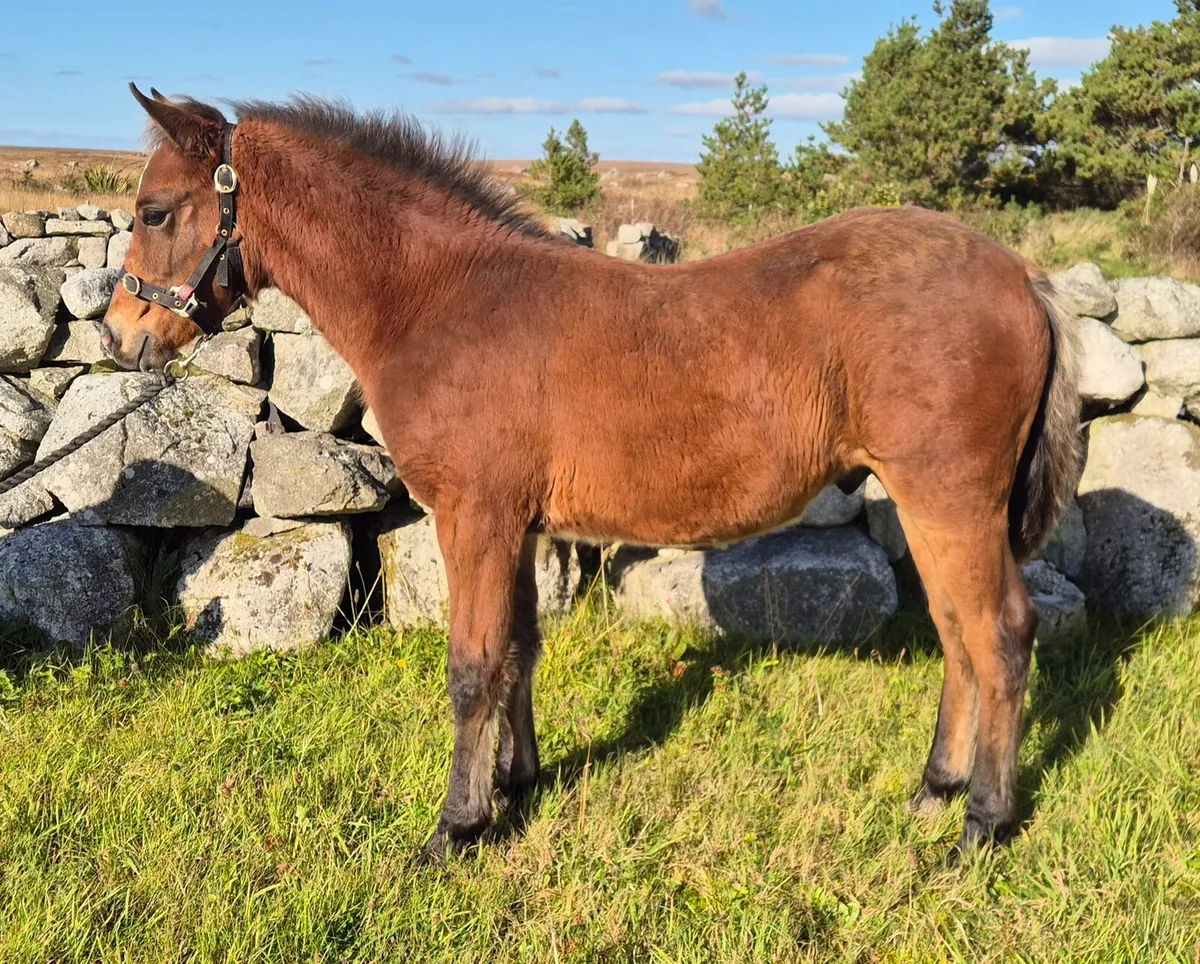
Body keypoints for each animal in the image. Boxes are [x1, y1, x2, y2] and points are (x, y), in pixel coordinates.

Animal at [102, 84, 1085, 860]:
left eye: (155, 211)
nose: (119, 339)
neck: (441, 298)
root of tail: (1022, 274)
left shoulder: (476, 517)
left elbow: (473, 666)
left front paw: (455, 828)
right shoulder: (517, 524)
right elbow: (518, 651)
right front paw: (517, 784)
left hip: (950, 497)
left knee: (999, 634)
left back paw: (982, 825)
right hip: (932, 504)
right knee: (958, 632)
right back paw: (935, 789)